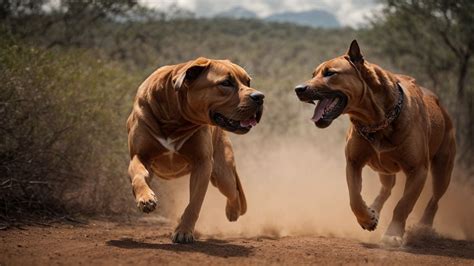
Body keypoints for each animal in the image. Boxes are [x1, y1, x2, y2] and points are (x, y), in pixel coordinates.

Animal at [128, 56, 264, 243]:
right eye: (226, 83)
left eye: (248, 81)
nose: (260, 96)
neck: (174, 119)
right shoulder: (140, 155)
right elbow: (139, 175)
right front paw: (145, 198)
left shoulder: (203, 163)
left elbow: (194, 203)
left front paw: (184, 231)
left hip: (223, 175)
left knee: (234, 192)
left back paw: (233, 211)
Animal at [296, 40, 456, 246]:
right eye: (313, 74)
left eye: (330, 73)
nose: (298, 89)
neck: (375, 121)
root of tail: (441, 106)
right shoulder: (353, 162)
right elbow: (354, 196)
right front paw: (367, 218)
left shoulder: (418, 169)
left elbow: (403, 204)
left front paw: (392, 235)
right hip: (384, 170)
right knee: (386, 190)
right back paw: (374, 210)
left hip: (442, 170)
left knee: (434, 200)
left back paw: (424, 227)